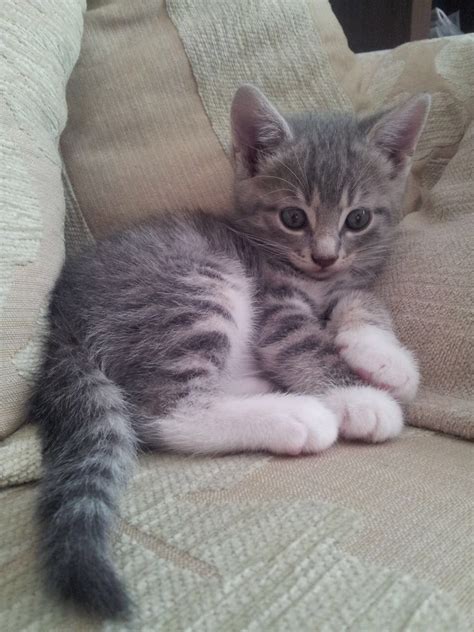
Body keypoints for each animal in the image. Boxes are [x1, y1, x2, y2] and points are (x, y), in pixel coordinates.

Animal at [29, 84, 430, 616]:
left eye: (358, 219)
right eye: (293, 217)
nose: (324, 256)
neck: (311, 278)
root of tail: (60, 321)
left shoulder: (347, 281)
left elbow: (363, 300)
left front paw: (388, 359)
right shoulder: (274, 304)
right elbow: (302, 344)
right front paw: (362, 398)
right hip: (196, 287)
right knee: (161, 411)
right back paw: (294, 415)